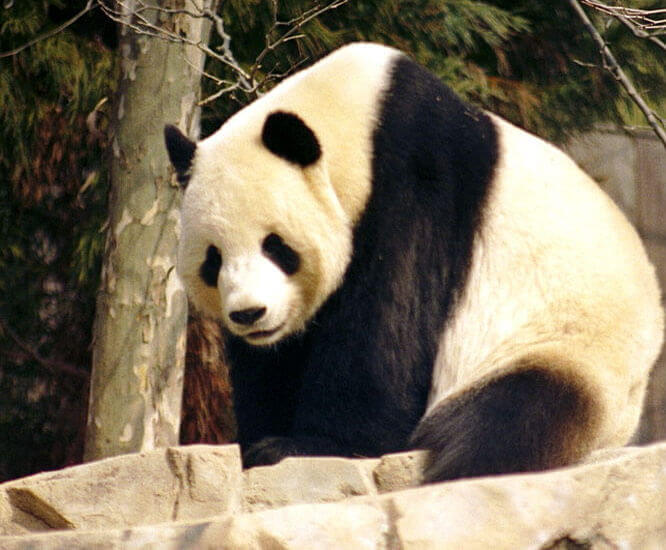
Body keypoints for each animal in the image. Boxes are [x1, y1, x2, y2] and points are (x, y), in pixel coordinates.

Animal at [165, 42, 664, 482]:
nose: (250, 314)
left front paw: (306, 445)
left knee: (513, 419)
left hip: (564, 347)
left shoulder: (417, 186)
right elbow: (274, 361)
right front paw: (261, 439)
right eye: (213, 260)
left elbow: (388, 325)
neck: (357, 120)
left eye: (276, 246)